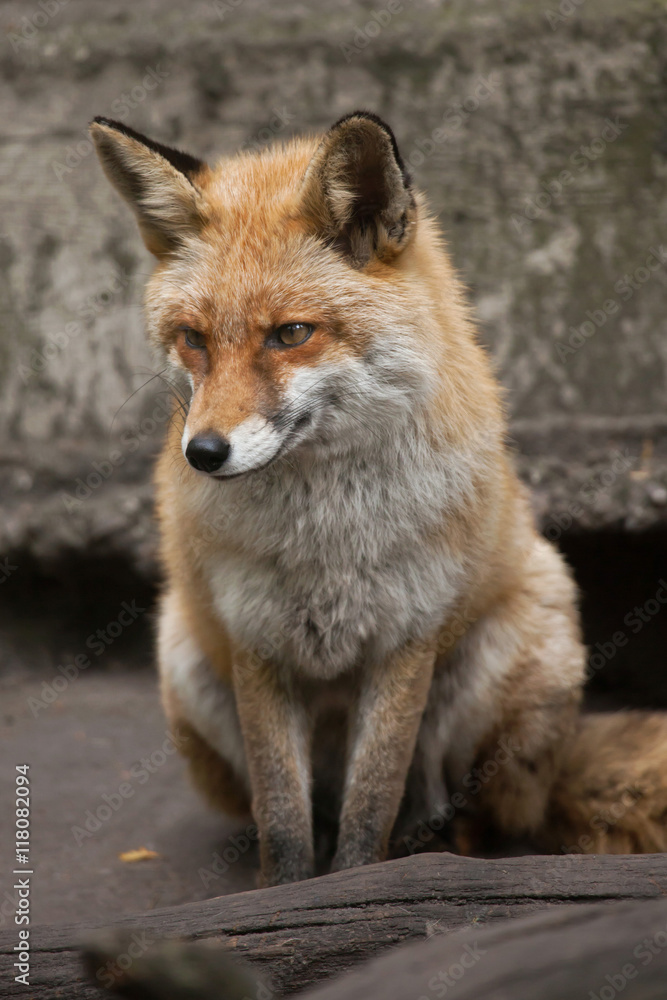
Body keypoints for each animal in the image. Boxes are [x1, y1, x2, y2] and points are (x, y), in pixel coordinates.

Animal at [88, 113, 656, 888]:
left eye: (291, 333)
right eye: (194, 339)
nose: (202, 453)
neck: (325, 538)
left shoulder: (405, 638)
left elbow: (371, 801)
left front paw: (357, 882)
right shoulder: (257, 643)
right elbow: (283, 818)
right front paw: (285, 893)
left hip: (507, 658)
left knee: (470, 808)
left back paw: (433, 844)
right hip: (185, 661)